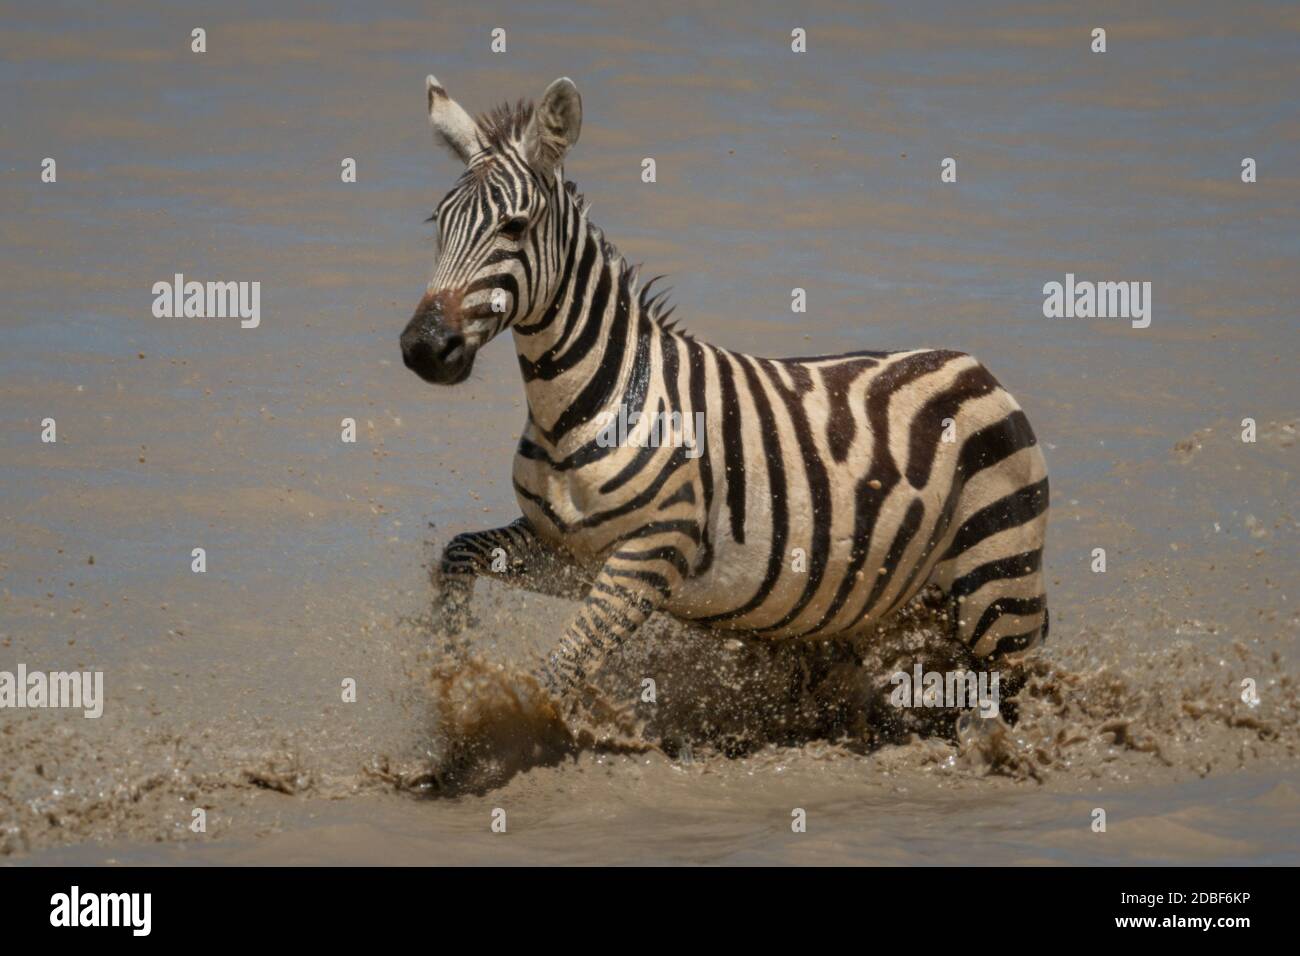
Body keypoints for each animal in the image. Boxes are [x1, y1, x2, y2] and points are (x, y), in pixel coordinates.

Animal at [400, 74, 1050, 697]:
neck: (584, 407)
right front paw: (450, 674)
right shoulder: (566, 552)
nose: (423, 348)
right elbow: (459, 554)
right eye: (438, 223)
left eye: (514, 226)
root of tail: (975, 366)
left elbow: (559, 674)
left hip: (998, 587)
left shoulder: (649, 555)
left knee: (1010, 692)